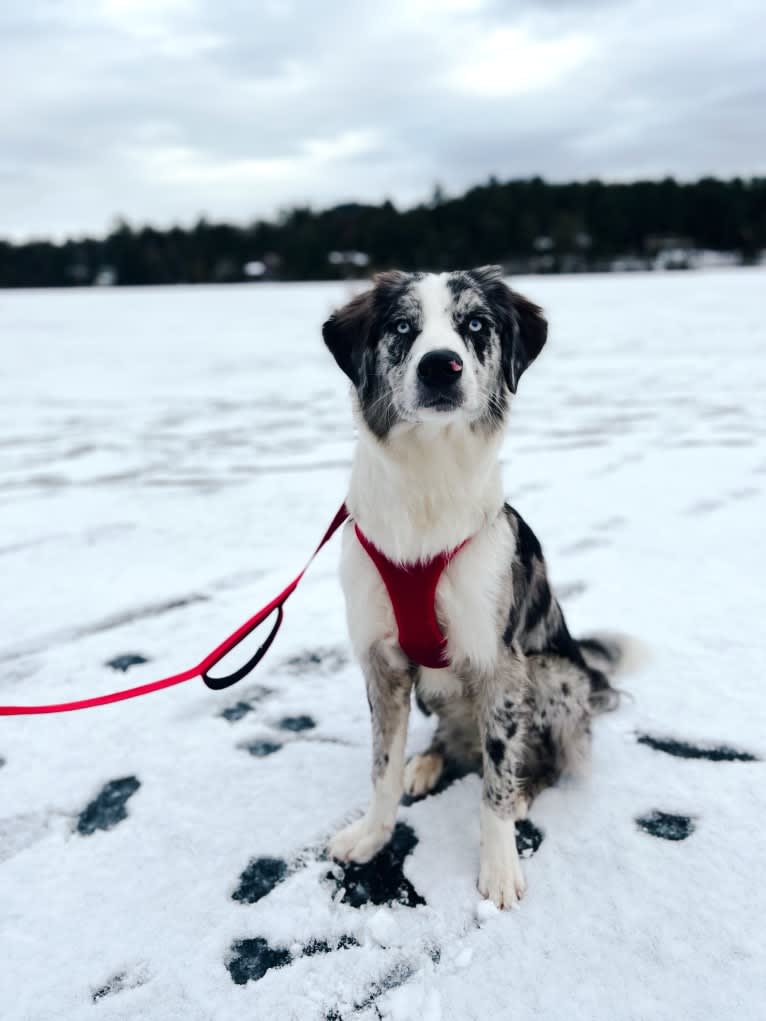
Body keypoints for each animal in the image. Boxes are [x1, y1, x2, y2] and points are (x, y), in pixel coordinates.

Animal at [320, 265, 620, 910]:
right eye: (401, 327)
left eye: (476, 325)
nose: (441, 366)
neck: (427, 484)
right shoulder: (382, 662)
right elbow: (381, 766)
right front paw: (372, 834)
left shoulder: (499, 663)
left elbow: (496, 779)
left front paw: (500, 867)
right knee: (451, 740)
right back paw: (428, 762)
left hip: (553, 673)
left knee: (544, 757)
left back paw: (528, 789)